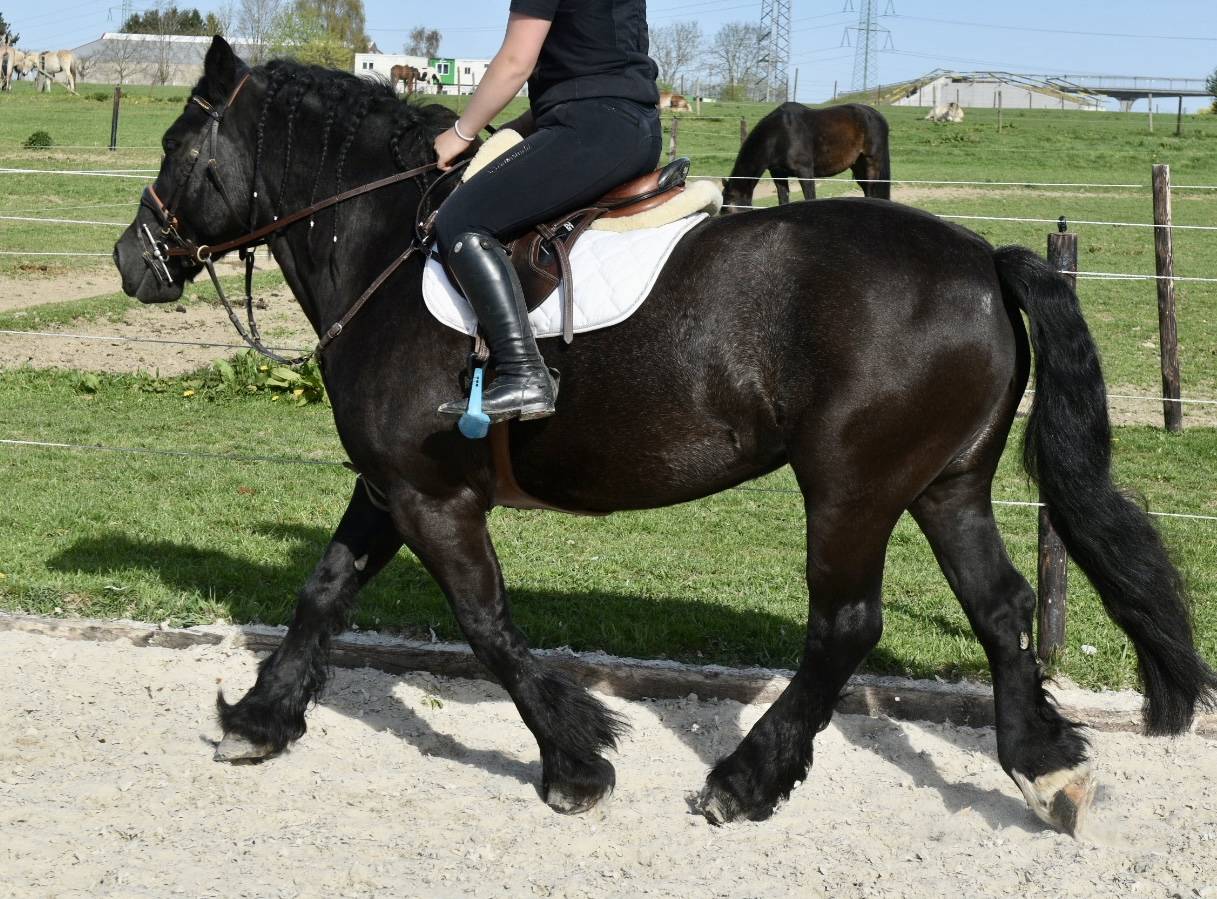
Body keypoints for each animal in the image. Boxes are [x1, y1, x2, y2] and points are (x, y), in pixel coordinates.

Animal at [722, 102, 891, 212]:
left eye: (729, 209)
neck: (779, 135)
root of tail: (877, 115)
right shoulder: (778, 174)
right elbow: (782, 200)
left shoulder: (805, 172)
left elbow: (809, 198)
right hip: (858, 166)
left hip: (871, 163)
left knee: (871, 192)